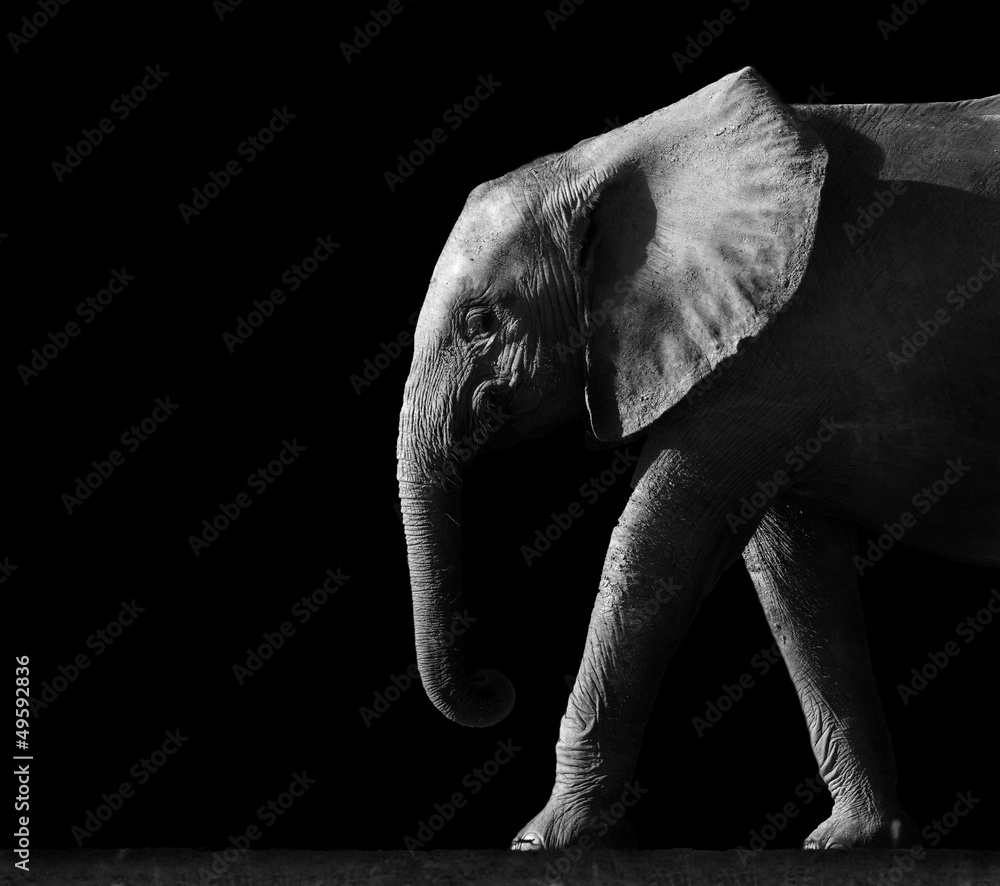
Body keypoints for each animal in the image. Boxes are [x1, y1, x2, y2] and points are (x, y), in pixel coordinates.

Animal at [395, 66, 1000, 852]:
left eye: (480, 321)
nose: (497, 686)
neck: (611, 158)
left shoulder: (773, 351)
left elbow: (660, 543)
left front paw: (543, 842)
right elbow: (794, 572)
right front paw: (852, 843)